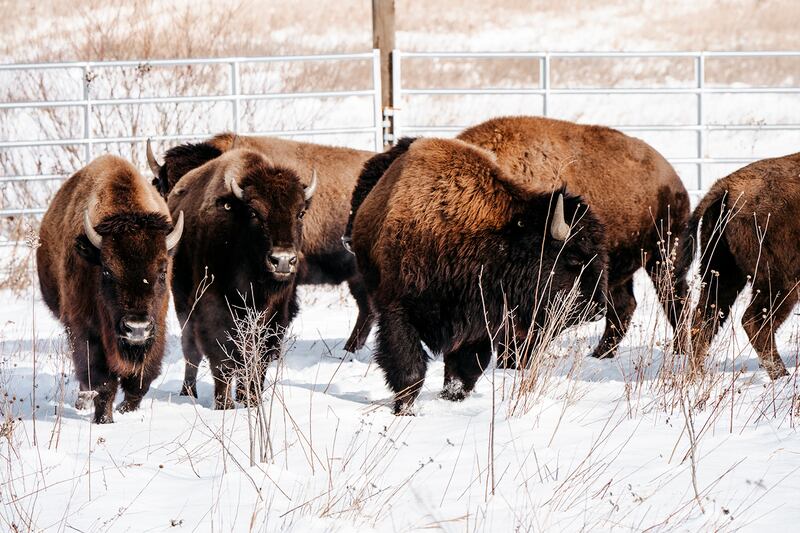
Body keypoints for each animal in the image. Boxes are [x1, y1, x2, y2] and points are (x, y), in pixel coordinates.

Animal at [37, 155, 184, 423]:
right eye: (106, 271)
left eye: (162, 271)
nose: (137, 328)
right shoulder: (86, 331)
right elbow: (103, 383)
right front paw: (104, 419)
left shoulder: (157, 328)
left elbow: (139, 382)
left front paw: (126, 411)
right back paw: (82, 401)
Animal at [167, 145, 317, 408]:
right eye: (254, 212)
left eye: (300, 213)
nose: (282, 260)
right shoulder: (213, 311)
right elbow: (222, 360)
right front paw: (224, 405)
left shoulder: (275, 315)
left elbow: (258, 361)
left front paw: (252, 400)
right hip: (182, 304)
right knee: (191, 352)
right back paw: (188, 392)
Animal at [350, 137, 608, 414]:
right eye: (574, 259)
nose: (598, 308)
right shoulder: (397, 311)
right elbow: (409, 368)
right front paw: (404, 410)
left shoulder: (478, 324)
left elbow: (465, 370)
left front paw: (451, 397)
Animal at [688, 153, 800, 379]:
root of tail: (725, 186)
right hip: (782, 280)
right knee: (755, 321)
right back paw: (781, 374)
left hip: (721, 269)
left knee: (705, 317)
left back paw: (697, 376)